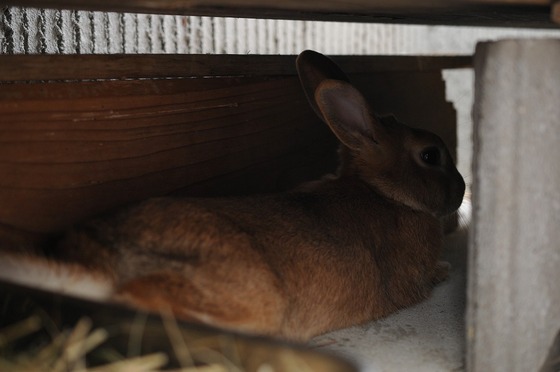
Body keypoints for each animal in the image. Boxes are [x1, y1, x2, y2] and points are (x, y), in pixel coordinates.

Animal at [0, 50, 464, 342]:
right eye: (430, 155)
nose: (461, 191)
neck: (384, 192)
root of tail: (99, 263)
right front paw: (445, 269)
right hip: (249, 298)